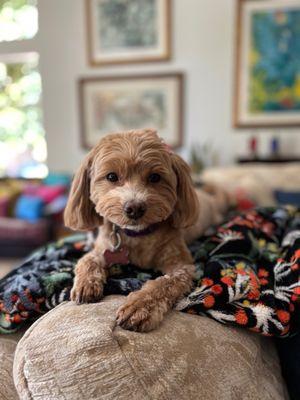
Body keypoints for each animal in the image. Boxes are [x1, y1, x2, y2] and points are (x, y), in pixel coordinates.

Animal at [64, 130, 229, 332]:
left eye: (155, 177)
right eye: (111, 176)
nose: (134, 208)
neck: (137, 234)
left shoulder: (182, 265)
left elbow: (164, 283)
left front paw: (140, 307)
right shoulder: (102, 248)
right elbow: (87, 260)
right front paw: (86, 284)